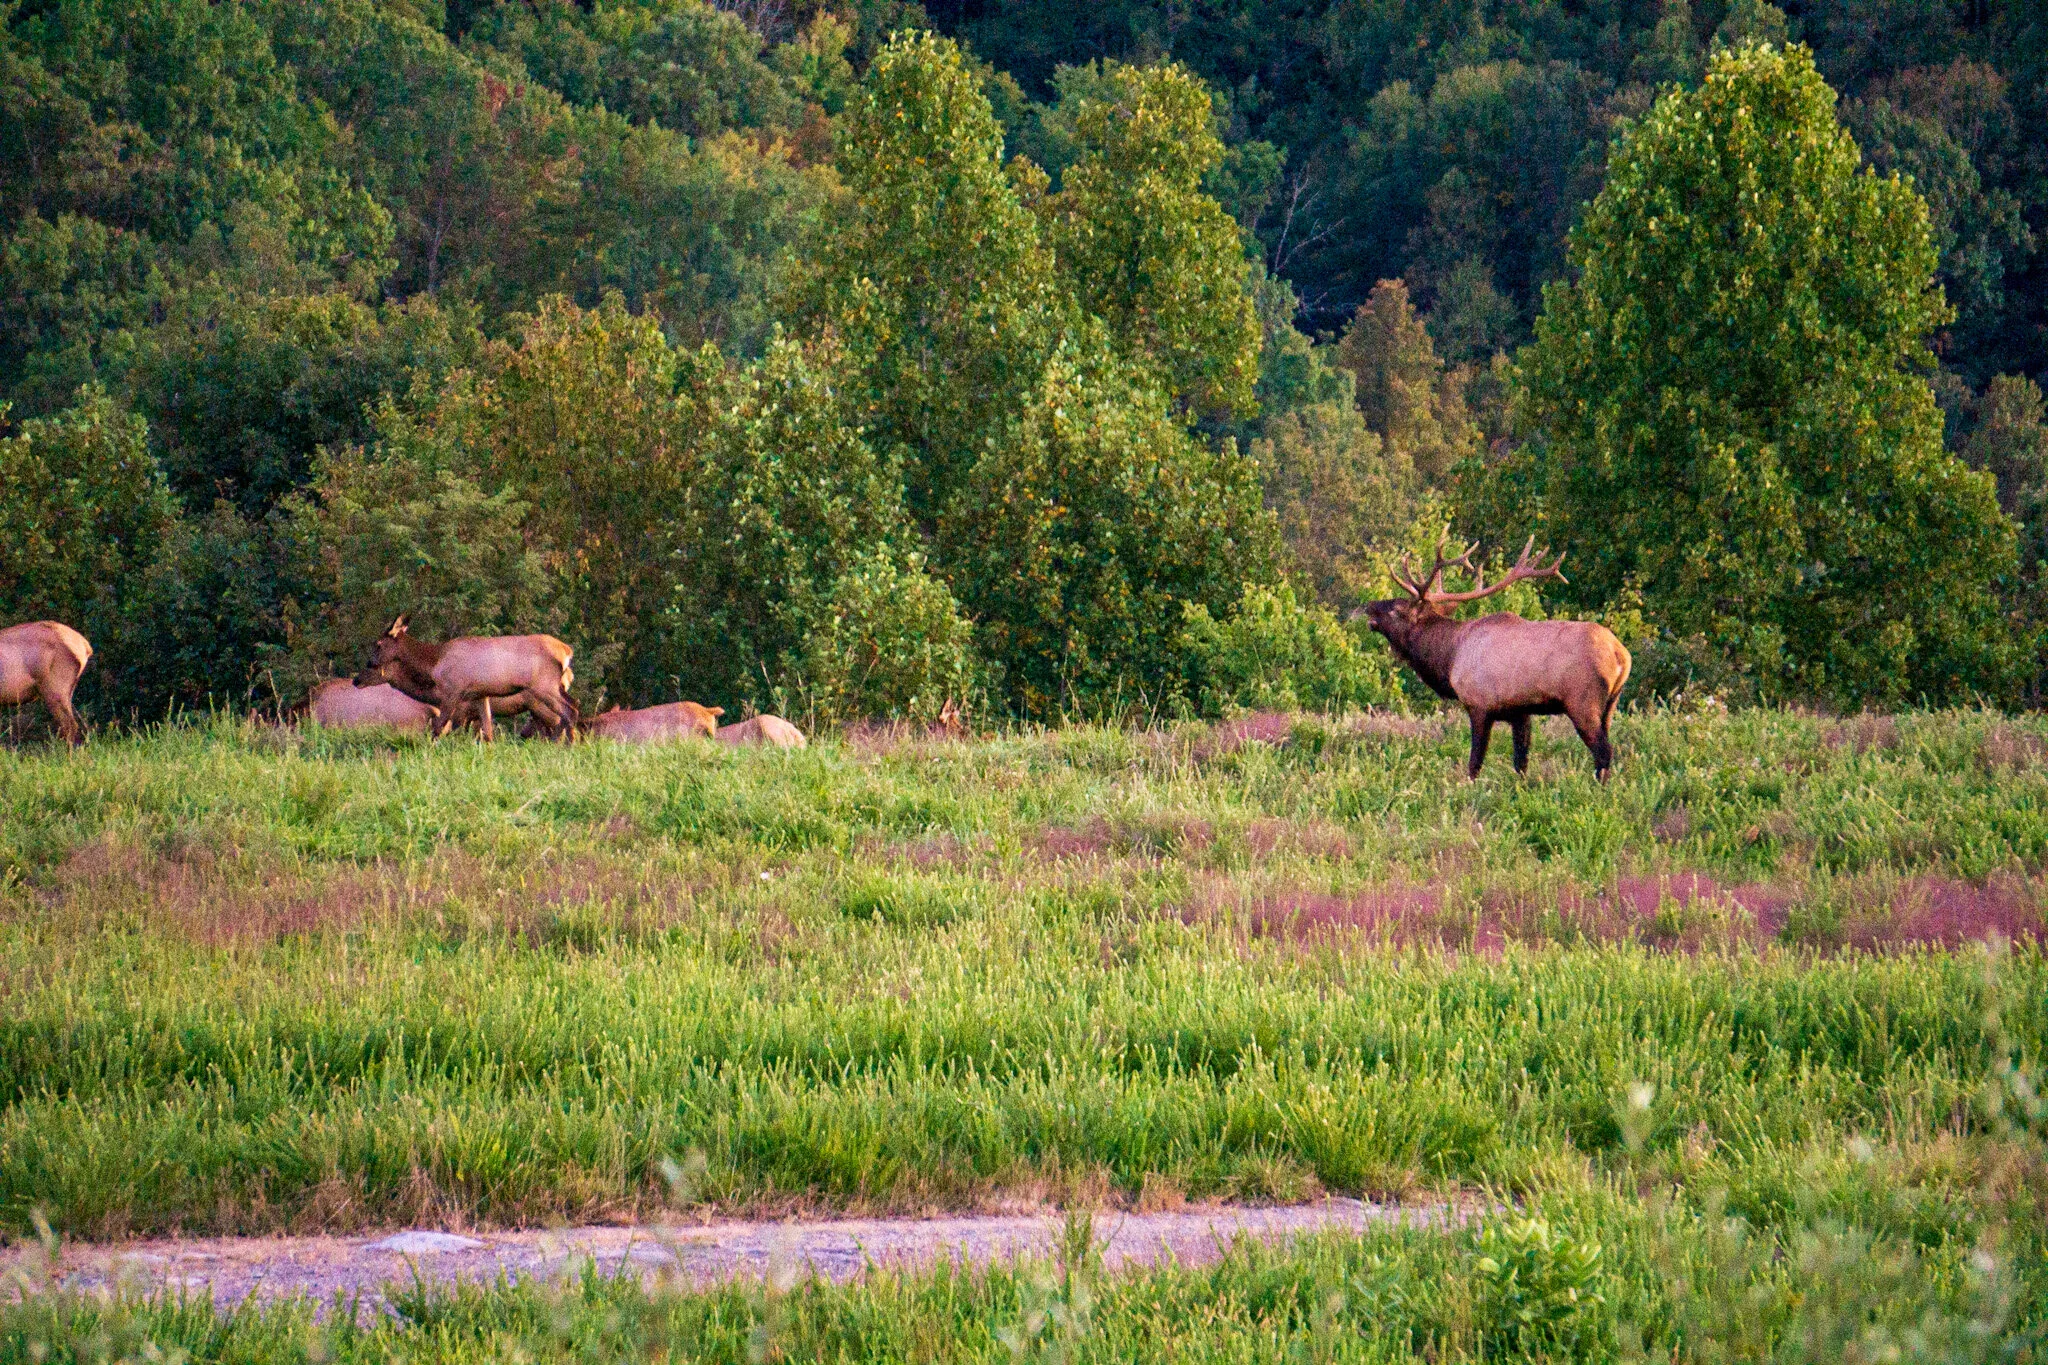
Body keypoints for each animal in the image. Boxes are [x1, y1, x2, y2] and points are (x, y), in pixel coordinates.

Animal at [354, 615, 579, 740]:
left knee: (569, 711)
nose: (357, 679)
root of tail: (567, 651)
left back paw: (566, 745)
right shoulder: (480, 695)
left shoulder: (454, 691)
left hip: (543, 687)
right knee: (572, 706)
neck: (433, 663)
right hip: (552, 688)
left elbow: (438, 728)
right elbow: (488, 733)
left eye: (378, 644)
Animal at [1351, 535, 1631, 781]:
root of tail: (1621, 655)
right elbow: (1520, 763)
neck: (1449, 657)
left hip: (1582, 702)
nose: (1369, 605)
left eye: (1396, 609)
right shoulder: (1520, 712)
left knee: (1604, 752)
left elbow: (1475, 763)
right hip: (1610, 704)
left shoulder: (1479, 704)